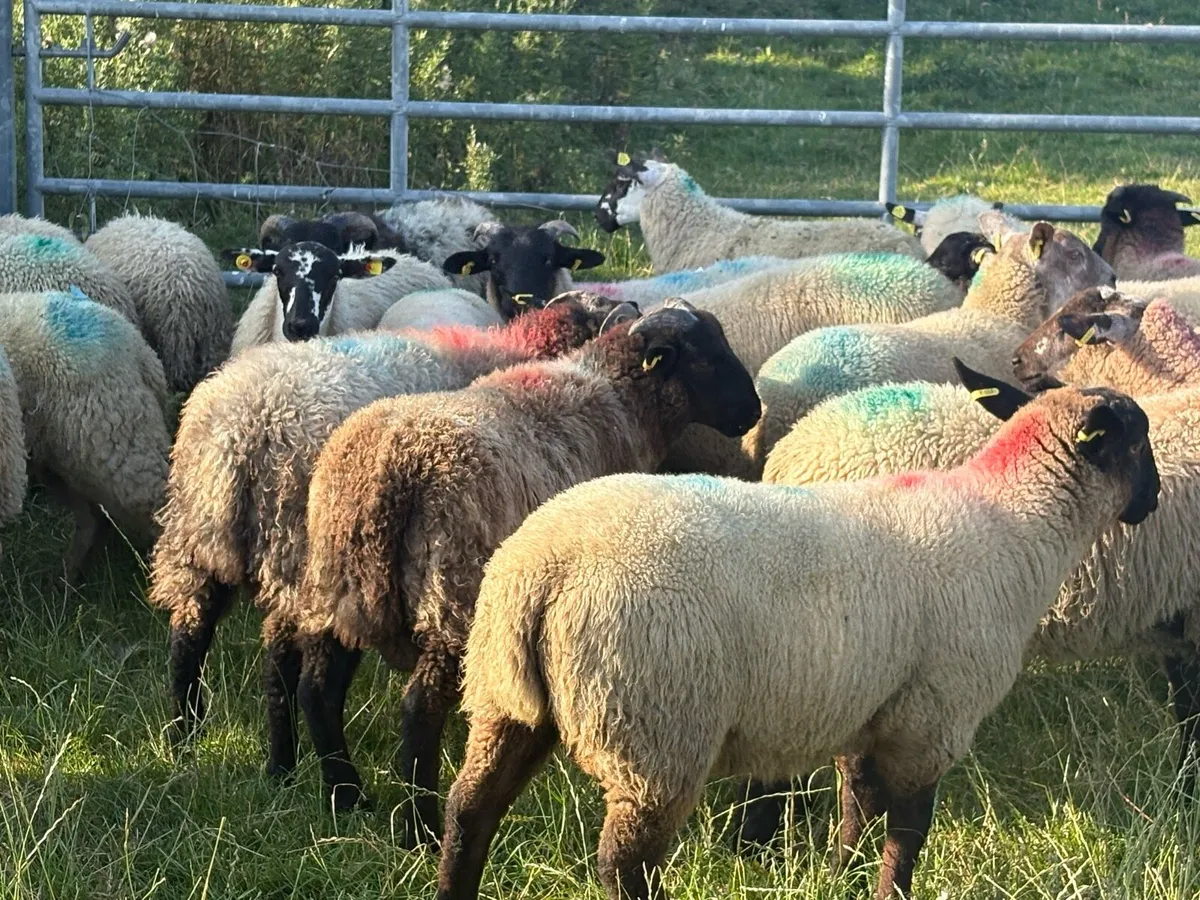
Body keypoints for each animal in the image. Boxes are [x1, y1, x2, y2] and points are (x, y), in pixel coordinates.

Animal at [149, 292, 631, 776]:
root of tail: (246, 429)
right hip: (295, 552)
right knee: (284, 665)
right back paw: (297, 770)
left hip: (199, 540)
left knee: (189, 640)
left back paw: (189, 743)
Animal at [291, 299, 757, 839]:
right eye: (706, 358)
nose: (754, 411)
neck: (619, 400)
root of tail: (390, 467)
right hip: (451, 593)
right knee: (417, 709)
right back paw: (418, 827)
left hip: (340, 587)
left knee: (317, 691)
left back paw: (346, 797)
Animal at [436, 362, 1159, 900]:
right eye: (1136, 441)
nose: (1151, 502)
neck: (1014, 521)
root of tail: (545, 567)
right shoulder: (932, 718)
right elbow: (907, 831)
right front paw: (887, 889)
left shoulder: (870, 705)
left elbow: (857, 807)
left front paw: (841, 877)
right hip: (658, 730)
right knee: (623, 865)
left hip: (504, 701)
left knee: (470, 810)